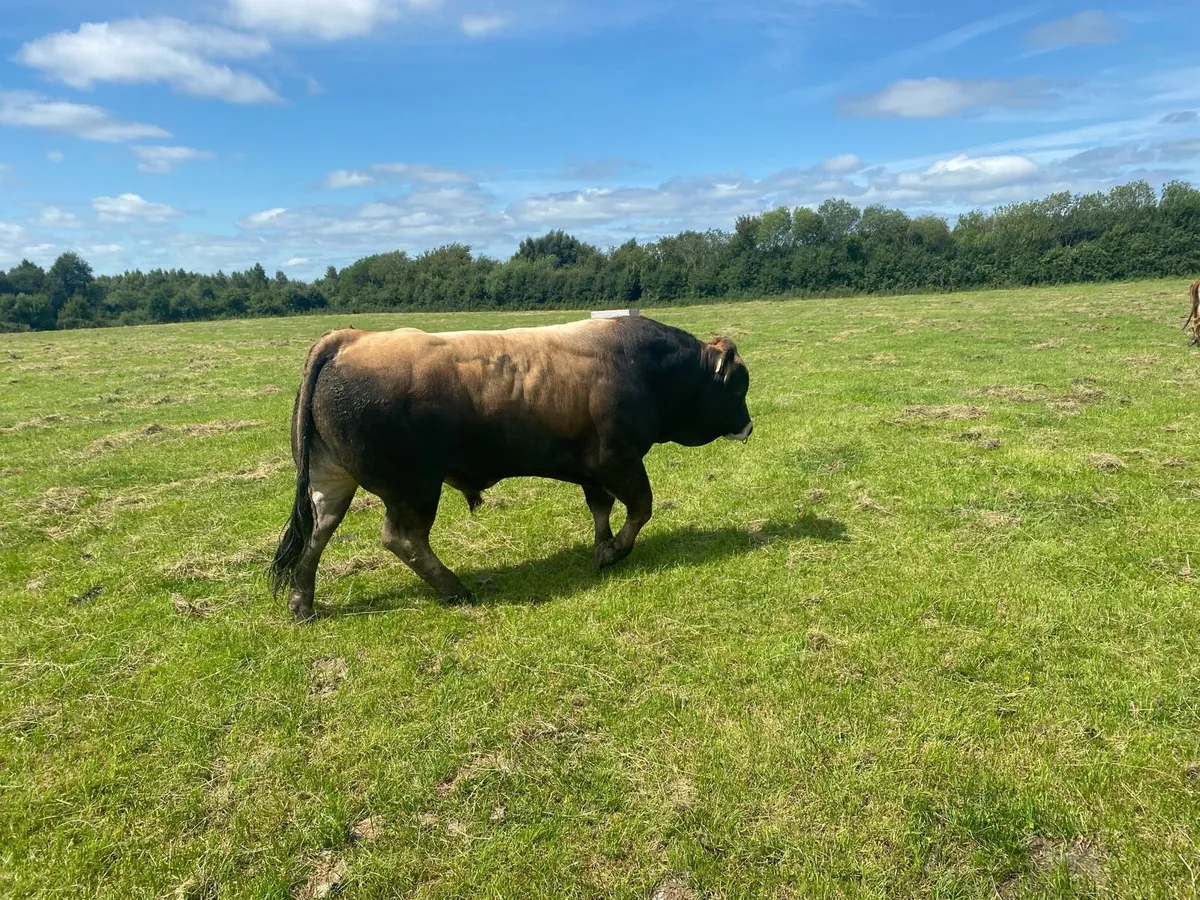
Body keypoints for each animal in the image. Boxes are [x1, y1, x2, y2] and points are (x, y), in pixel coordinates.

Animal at [269, 315, 753, 621]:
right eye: (737, 386)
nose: (749, 426)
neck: (647, 370)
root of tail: (349, 338)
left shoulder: (592, 469)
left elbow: (601, 509)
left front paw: (601, 548)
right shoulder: (619, 460)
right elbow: (641, 508)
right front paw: (616, 550)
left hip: (332, 480)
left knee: (317, 534)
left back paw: (302, 604)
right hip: (415, 487)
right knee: (401, 538)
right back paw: (455, 589)